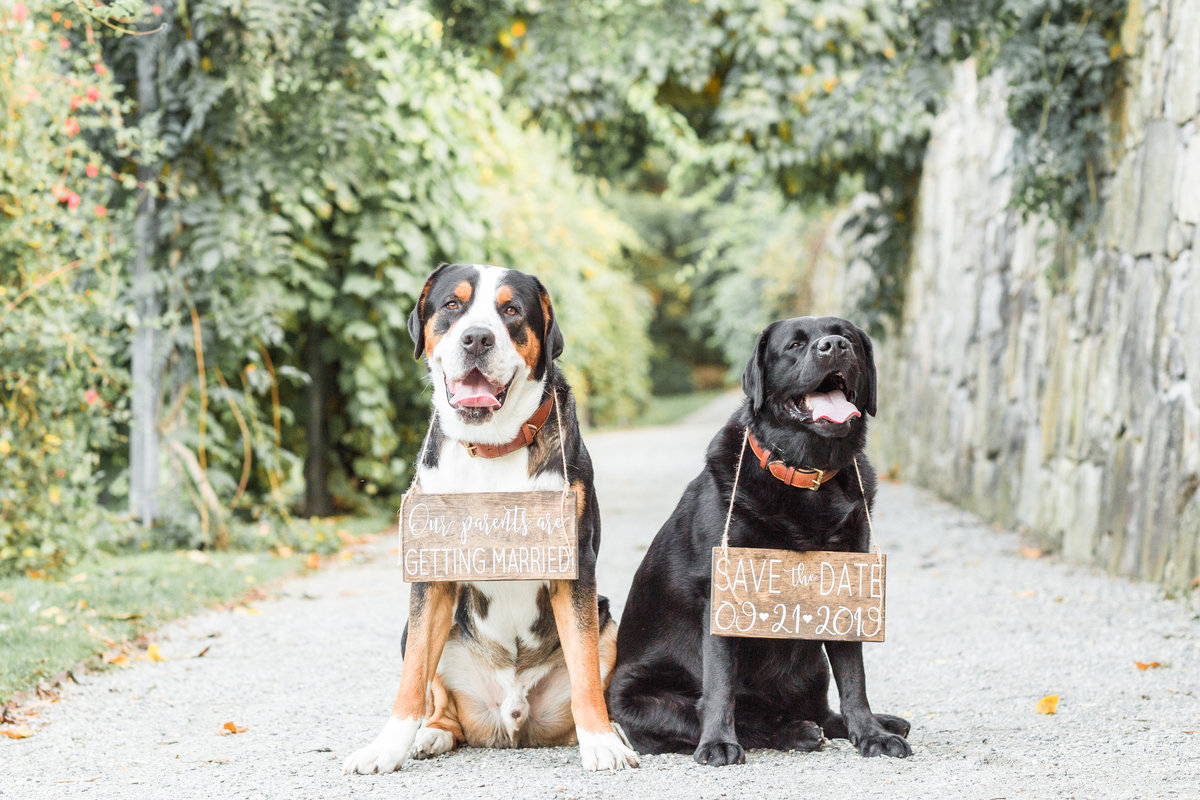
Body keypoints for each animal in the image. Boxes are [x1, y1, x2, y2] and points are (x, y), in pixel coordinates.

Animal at [343, 263, 643, 777]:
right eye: (452, 305)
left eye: (511, 310)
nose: (478, 338)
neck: (492, 448)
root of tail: (510, 718)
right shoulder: (431, 569)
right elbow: (412, 678)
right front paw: (386, 748)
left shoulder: (574, 567)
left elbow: (585, 670)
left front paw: (602, 743)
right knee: (441, 703)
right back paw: (431, 735)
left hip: (606, 619)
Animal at [604, 316, 912, 767]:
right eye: (795, 345)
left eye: (848, 338)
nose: (834, 346)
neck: (807, 478)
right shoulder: (721, 593)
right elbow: (720, 685)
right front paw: (718, 743)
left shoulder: (846, 586)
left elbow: (854, 677)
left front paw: (871, 734)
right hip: (641, 697)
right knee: (738, 721)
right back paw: (795, 732)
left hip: (813, 666)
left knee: (821, 711)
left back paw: (874, 723)